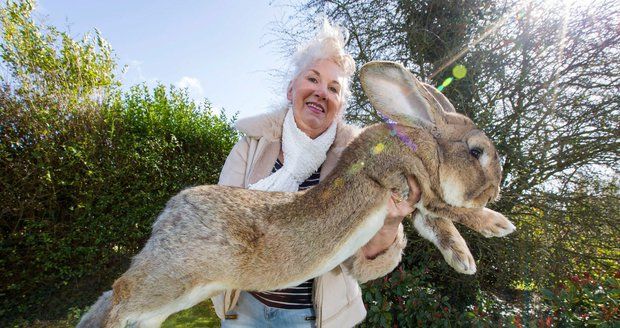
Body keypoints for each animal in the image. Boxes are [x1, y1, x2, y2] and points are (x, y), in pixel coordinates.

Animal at [77, 60, 512, 326]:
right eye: (476, 152)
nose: (495, 191)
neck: (423, 142)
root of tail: (168, 216)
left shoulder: (418, 206)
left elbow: (438, 225)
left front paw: (464, 260)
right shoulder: (411, 181)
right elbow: (450, 211)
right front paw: (497, 224)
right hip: (174, 276)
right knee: (121, 292)